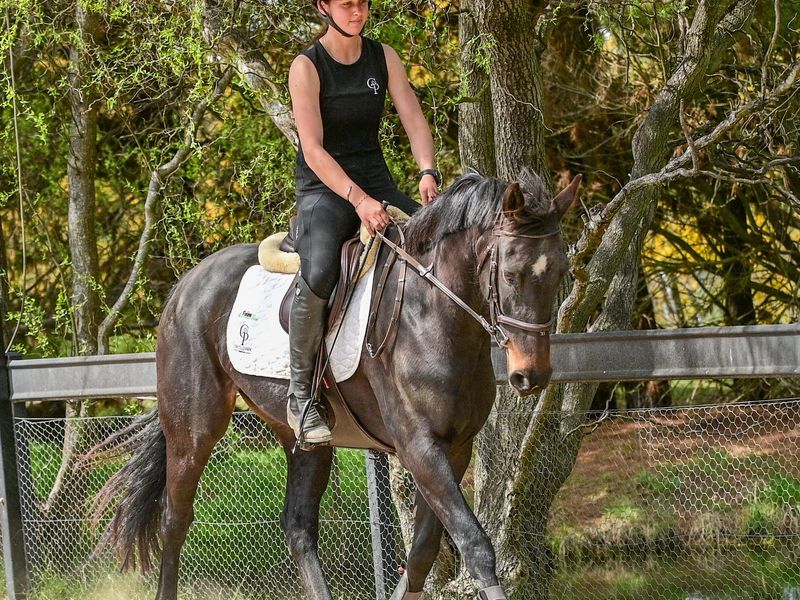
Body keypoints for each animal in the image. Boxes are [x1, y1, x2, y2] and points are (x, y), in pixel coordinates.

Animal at [91, 167, 580, 600]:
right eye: (511, 274)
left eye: (560, 272)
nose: (531, 375)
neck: (434, 313)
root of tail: (186, 285)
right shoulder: (419, 446)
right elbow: (475, 545)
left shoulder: (455, 447)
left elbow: (422, 553)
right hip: (193, 432)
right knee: (175, 519)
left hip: (304, 441)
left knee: (298, 528)